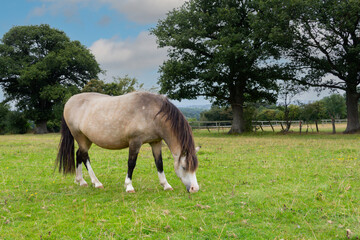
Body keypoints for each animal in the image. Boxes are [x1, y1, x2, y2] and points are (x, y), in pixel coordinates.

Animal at [56, 91, 200, 193]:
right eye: (184, 167)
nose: (195, 189)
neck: (153, 113)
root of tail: (69, 102)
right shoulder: (135, 142)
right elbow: (131, 163)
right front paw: (129, 186)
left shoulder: (156, 142)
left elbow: (159, 163)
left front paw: (166, 185)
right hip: (80, 137)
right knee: (85, 157)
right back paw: (96, 183)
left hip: (86, 139)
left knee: (78, 154)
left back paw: (81, 181)